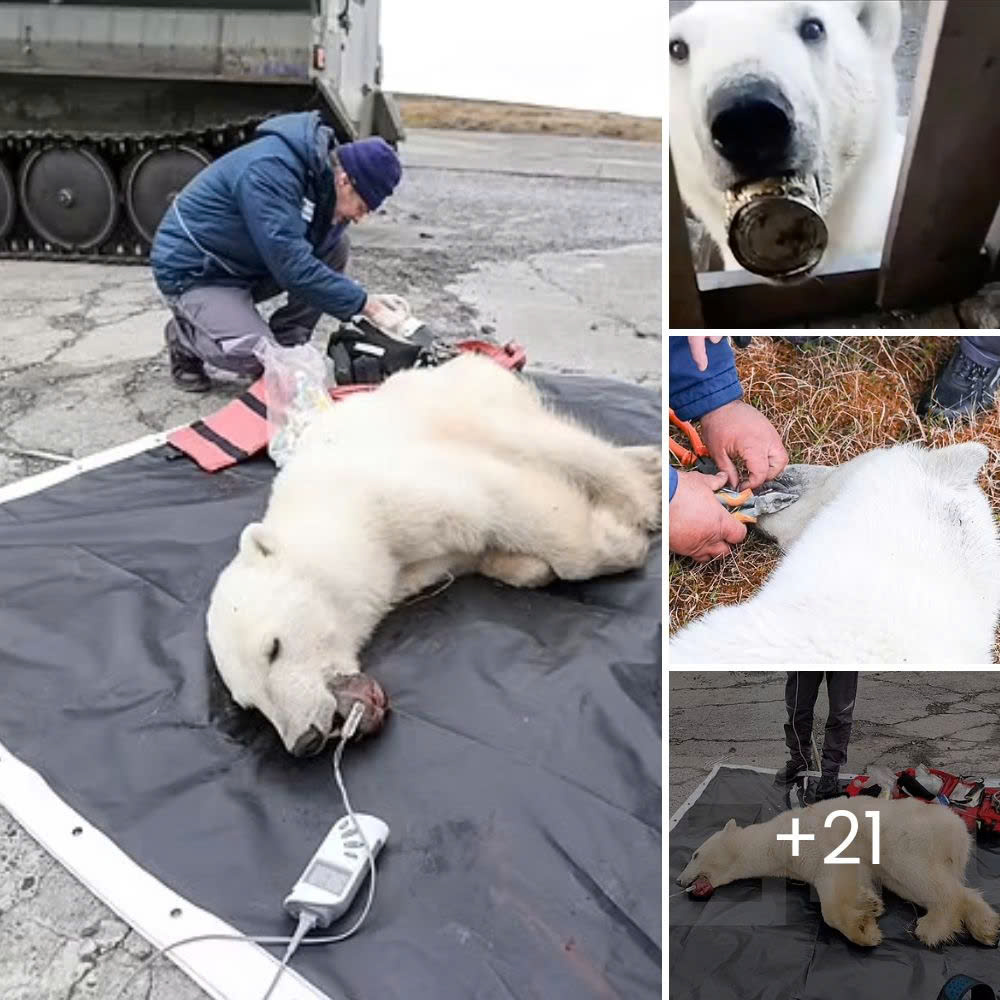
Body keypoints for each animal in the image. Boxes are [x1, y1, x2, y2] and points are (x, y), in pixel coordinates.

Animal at [204, 356, 660, 752]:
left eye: (273, 648)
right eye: (249, 703)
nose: (304, 740)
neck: (337, 515)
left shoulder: (395, 490)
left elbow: (501, 500)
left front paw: (622, 541)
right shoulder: (411, 566)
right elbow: (485, 551)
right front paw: (526, 565)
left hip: (469, 405)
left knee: (550, 443)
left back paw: (641, 489)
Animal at [672, 792, 1000, 948]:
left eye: (695, 854)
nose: (678, 880)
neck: (774, 840)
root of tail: (958, 830)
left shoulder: (814, 839)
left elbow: (834, 886)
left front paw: (864, 929)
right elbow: (849, 879)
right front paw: (870, 907)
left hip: (905, 836)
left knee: (923, 878)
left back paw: (932, 927)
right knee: (930, 885)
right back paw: (986, 927)